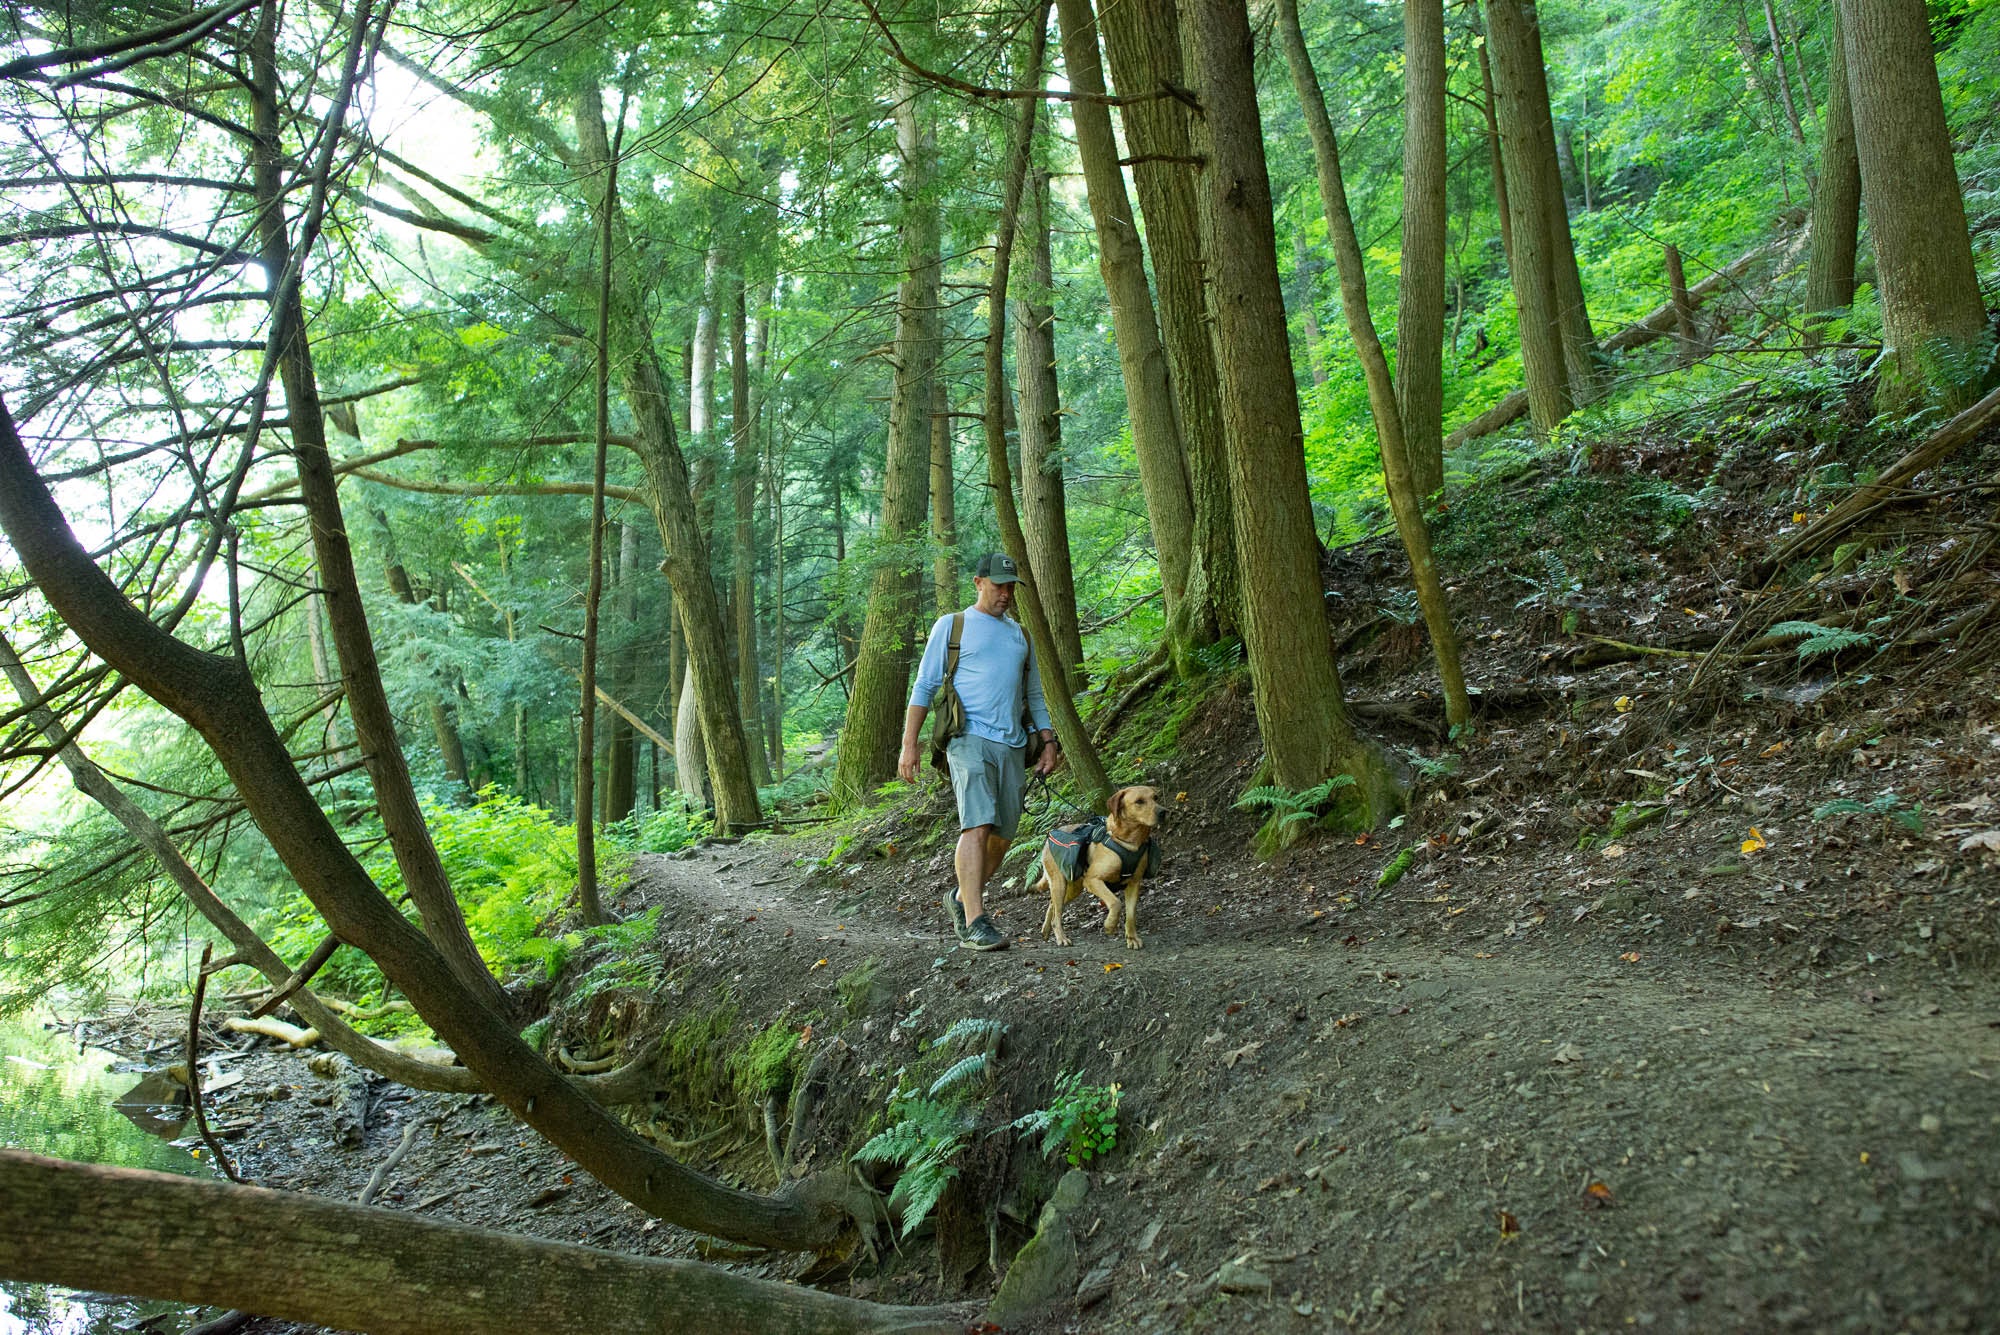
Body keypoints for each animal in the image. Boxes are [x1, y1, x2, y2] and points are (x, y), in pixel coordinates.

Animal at [1032, 787, 1160, 955]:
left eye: (1156, 798)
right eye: (1139, 801)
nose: (1163, 812)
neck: (1129, 841)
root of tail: (1047, 841)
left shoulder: (1134, 884)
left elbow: (1131, 915)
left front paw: (1132, 938)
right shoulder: (1093, 880)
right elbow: (1116, 902)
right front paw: (1110, 925)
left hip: (1073, 888)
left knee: (1052, 905)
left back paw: (1046, 929)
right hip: (1060, 883)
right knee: (1057, 914)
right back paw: (1061, 937)